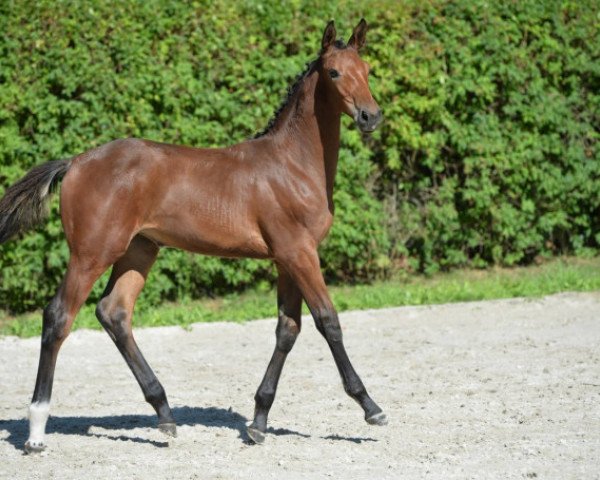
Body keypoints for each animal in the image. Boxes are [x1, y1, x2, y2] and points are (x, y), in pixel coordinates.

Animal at [0, 19, 384, 454]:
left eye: (367, 69)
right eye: (334, 73)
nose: (371, 116)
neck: (291, 165)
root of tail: (76, 161)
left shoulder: (286, 258)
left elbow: (287, 329)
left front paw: (259, 421)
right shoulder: (300, 253)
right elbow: (328, 321)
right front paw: (370, 407)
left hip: (138, 251)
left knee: (114, 312)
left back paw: (165, 414)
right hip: (91, 253)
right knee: (58, 317)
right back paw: (36, 431)